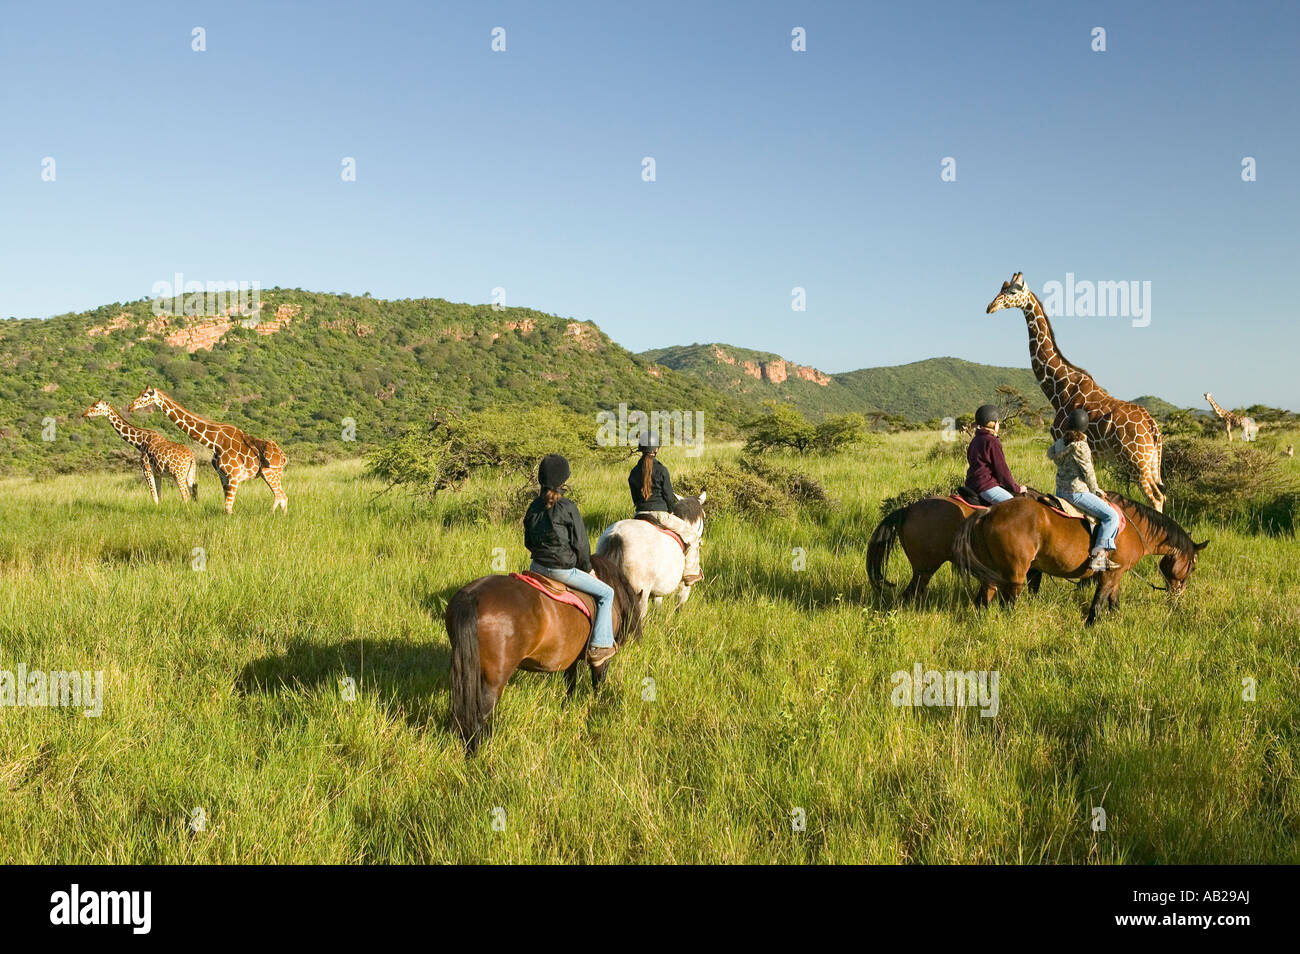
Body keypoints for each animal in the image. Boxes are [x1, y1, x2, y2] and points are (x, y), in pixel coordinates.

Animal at [129, 387, 288, 514]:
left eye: (145, 396)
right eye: (140, 393)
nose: (131, 407)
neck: (214, 442)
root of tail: (284, 457)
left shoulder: (234, 476)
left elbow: (228, 508)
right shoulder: (223, 476)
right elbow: (227, 507)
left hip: (270, 473)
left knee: (281, 496)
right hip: (270, 474)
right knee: (282, 497)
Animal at [444, 553, 642, 749]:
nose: (638, 639)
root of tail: (472, 595)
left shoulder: (571, 659)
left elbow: (571, 683)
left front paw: (567, 707)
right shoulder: (601, 660)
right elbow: (598, 684)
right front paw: (597, 707)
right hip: (494, 680)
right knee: (478, 716)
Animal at [951, 493, 1207, 626]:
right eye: (1193, 567)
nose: (1177, 595)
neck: (1135, 527)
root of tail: (989, 512)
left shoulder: (1115, 573)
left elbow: (1113, 600)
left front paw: (1116, 619)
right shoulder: (1111, 573)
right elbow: (1099, 601)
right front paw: (1091, 625)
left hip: (992, 574)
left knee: (983, 599)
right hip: (1015, 574)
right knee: (1007, 603)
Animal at [986, 272, 1166, 511]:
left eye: (1012, 291)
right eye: (1001, 288)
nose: (990, 307)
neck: (1060, 388)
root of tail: (1152, 427)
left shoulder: (1061, 441)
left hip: (1136, 462)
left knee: (1154, 497)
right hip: (1151, 462)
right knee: (1161, 495)